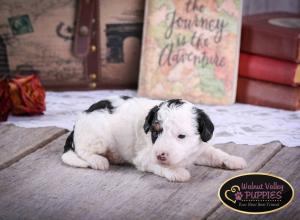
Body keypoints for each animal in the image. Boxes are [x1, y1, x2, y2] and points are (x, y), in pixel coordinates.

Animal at [61, 96, 246, 182]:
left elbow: (214, 153)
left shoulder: (198, 148)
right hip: (98, 136)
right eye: (155, 133)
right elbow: (160, 165)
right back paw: (99, 160)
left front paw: (233, 160)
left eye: (181, 136)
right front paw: (177, 172)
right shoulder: (144, 156)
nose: (161, 155)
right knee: (83, 150)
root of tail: (78, 122)